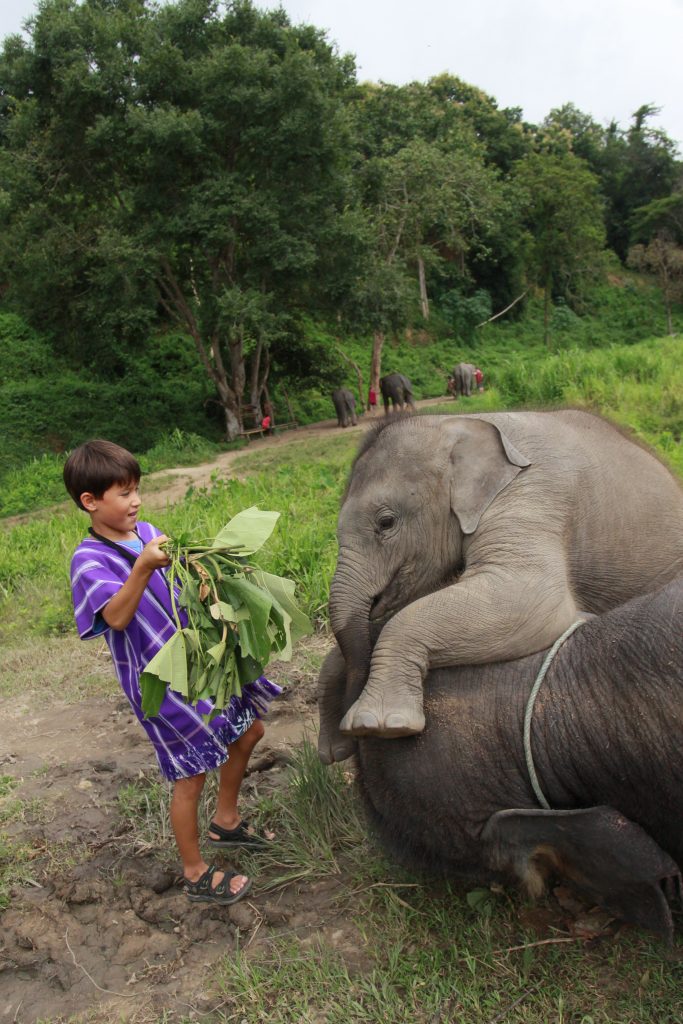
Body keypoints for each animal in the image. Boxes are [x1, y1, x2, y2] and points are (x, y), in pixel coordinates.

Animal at [321, 411, 683, 757]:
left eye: (386, 522)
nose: (349, 742)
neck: (458, 423)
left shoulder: (534, 493)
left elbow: (532, 596)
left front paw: (379, 725)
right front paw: (337, 749)